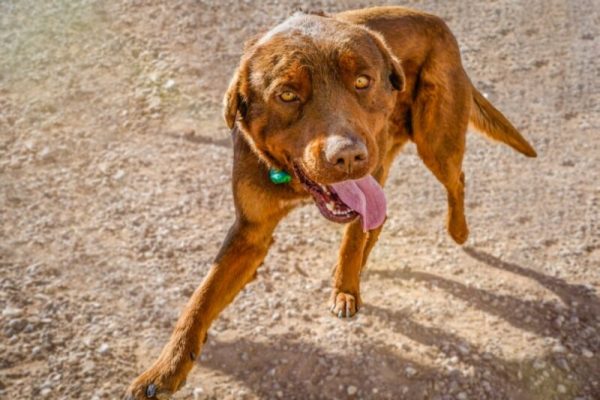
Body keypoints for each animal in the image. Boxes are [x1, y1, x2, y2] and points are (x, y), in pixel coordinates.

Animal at [124, 7, 536, 400]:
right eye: (287, 95)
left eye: (362, 82)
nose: (348, 157)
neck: (293, 181)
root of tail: (437, 22)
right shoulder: (249, 234)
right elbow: (199, 300)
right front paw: (165, 368)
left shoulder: (363, 185)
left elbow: (351, 240)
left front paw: (345, 289)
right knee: (380, 219)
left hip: (433, 141)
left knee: (453, 180)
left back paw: (457, 230)